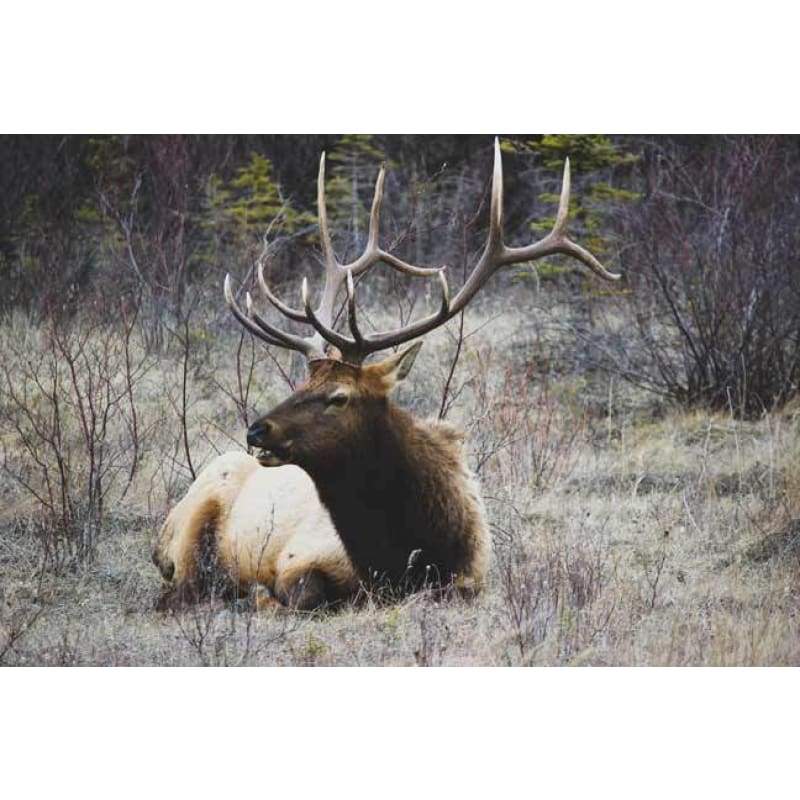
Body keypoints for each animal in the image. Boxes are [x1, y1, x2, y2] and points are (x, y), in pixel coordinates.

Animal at [153, 138, 620, 610]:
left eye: (339, 396)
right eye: (302, 382)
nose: (256, 430)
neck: (412, 552)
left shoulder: (471, 579)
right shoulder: (296, 558)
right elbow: (297, 594)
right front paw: (260, 595)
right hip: (189, 532)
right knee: (181, 588)